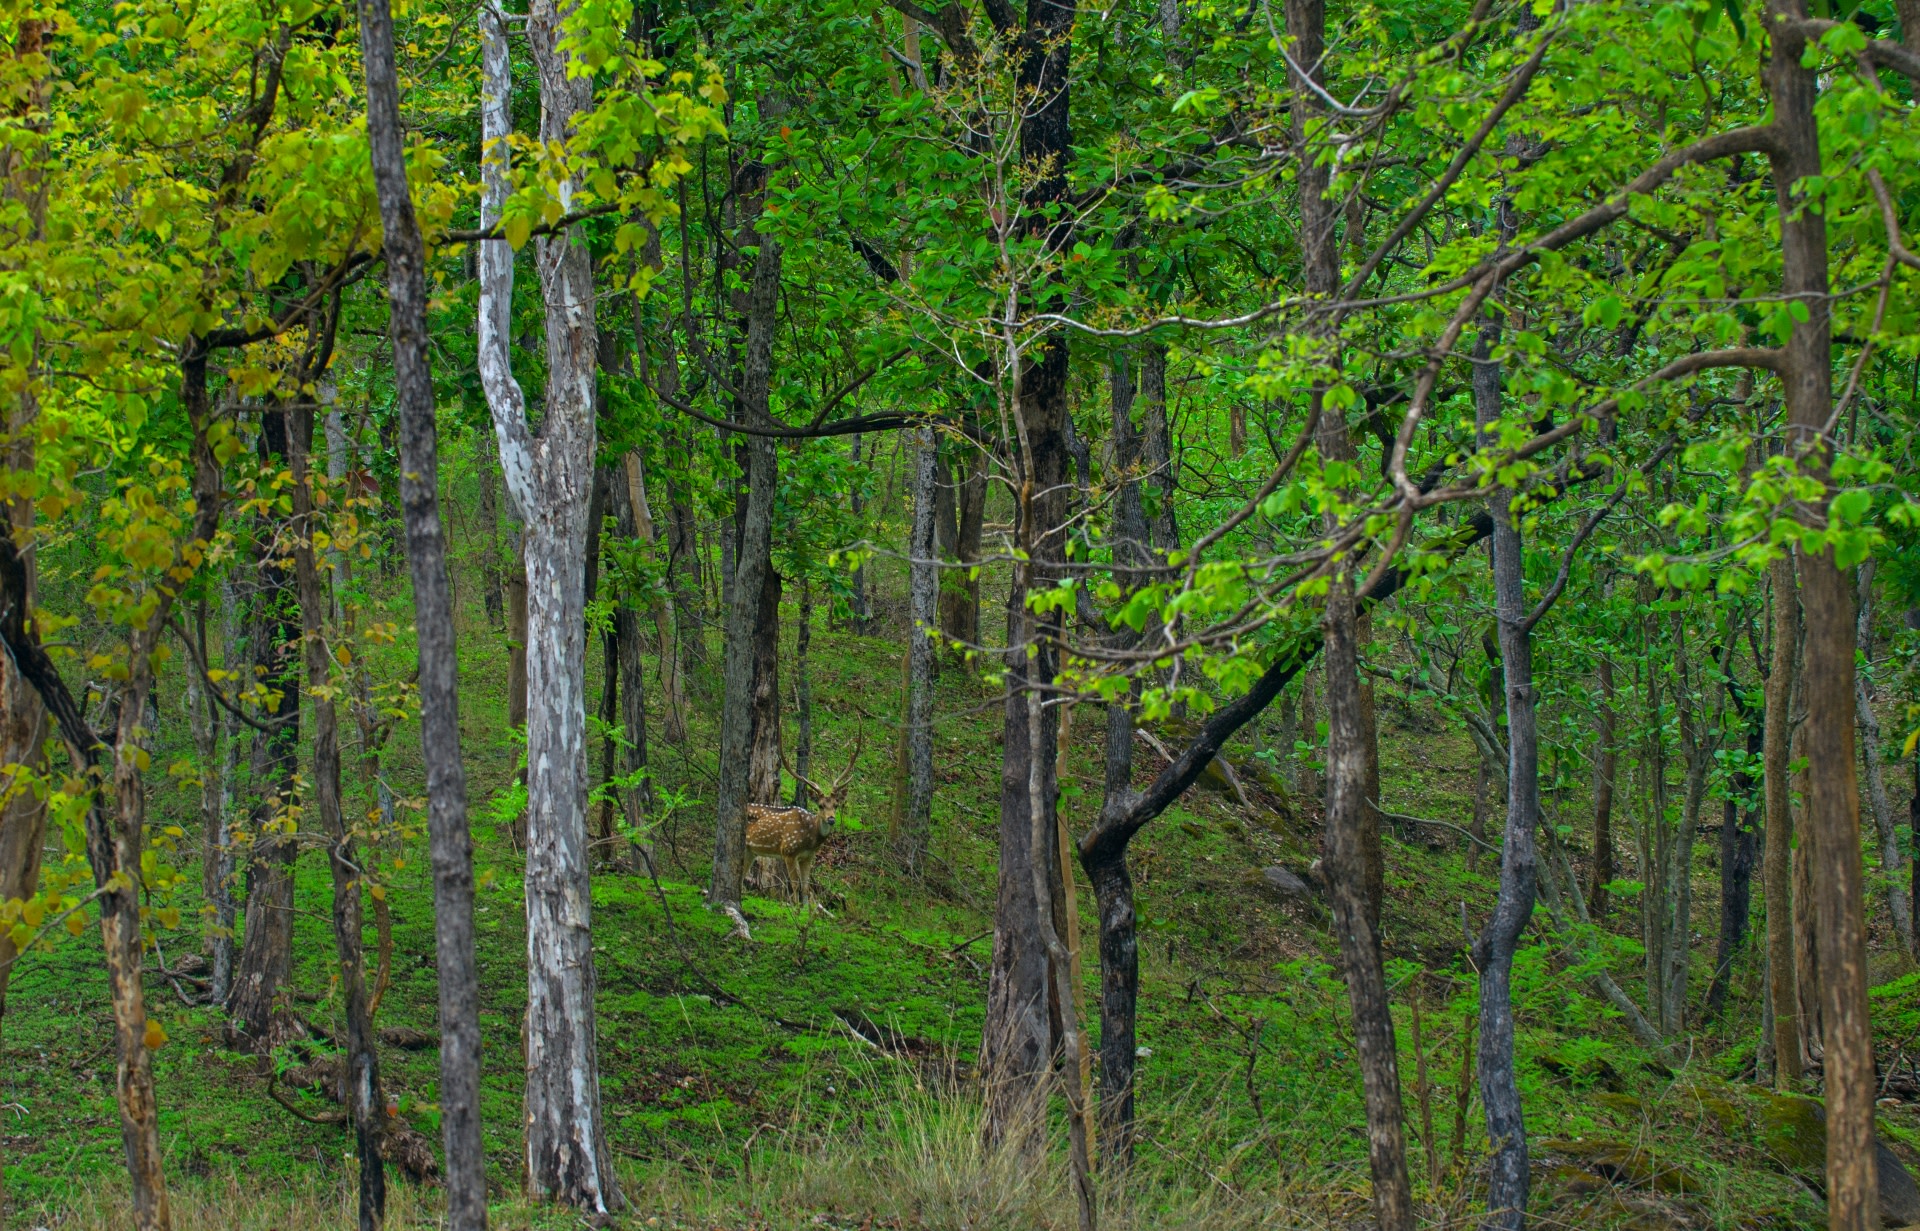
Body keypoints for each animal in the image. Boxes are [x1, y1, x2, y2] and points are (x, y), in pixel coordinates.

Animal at [745, 729, 863, 911]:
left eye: (836, 805)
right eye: (820, 805)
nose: (831, 819)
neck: (809, 838)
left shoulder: (808, 857)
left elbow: (806, 887)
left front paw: (806, 911)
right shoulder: (788, 851)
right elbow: (794, 885)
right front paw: (795, 909)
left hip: (750, 850)